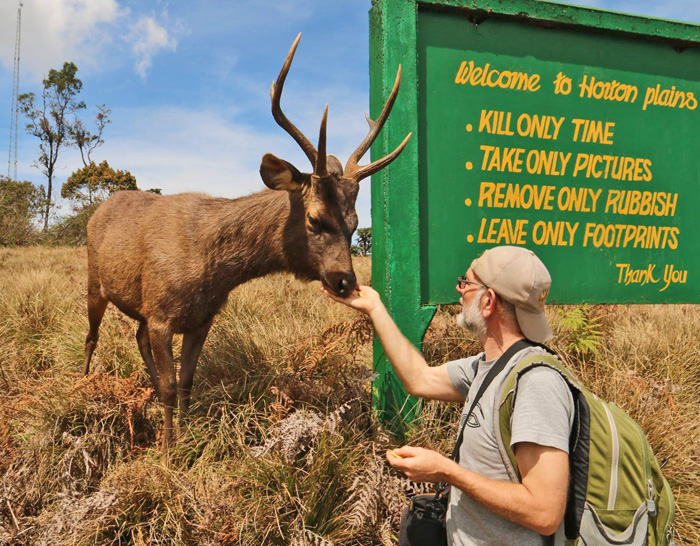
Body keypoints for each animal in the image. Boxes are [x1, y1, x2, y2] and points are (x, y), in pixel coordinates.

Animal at [80, 36, 410, 448]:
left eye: (355, 224)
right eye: (315, 219)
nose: (345, 281)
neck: (210, 270)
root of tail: (99, 209)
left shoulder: (200, 318)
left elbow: (186, 381)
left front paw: (186, 436)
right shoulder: (161, 314)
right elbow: (172, 385)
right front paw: (169, 448)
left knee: (135, 338)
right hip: (95, 280)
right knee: (91, 336)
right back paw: (81, 385)